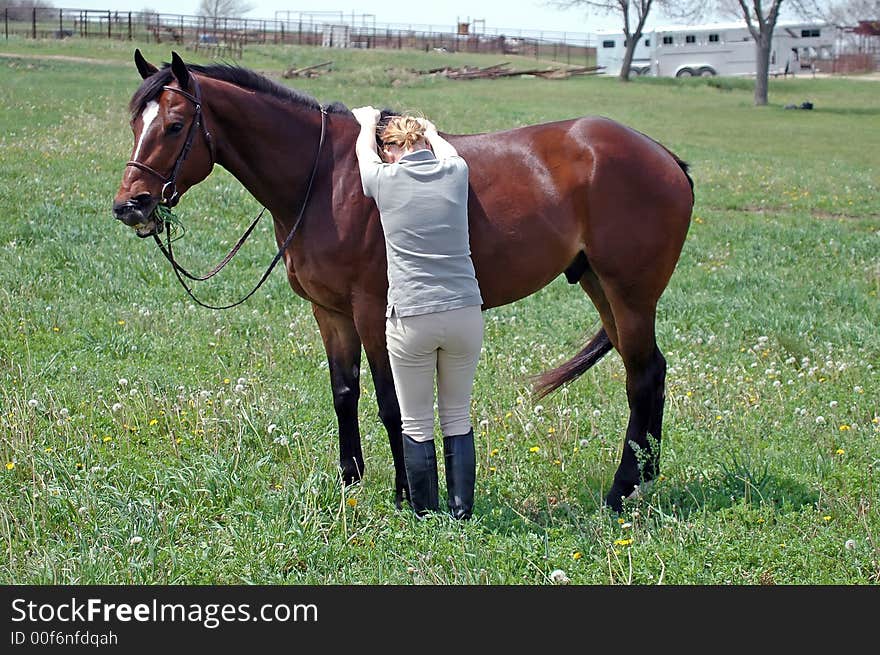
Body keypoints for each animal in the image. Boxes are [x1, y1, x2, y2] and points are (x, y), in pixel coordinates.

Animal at [115, 50, 696, 512]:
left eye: (174, 126)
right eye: (135, 124)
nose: (129, 205)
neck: (326, 177)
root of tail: (664, 155)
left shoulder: (373, 310)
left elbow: (390, 401)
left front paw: (403, 494)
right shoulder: (330, 313)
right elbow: (344, 393)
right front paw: (349, 482)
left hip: (629, 295)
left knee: (642, 378)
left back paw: (621, 490)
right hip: (602, 289)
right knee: (653, 372)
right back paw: (646, 476)